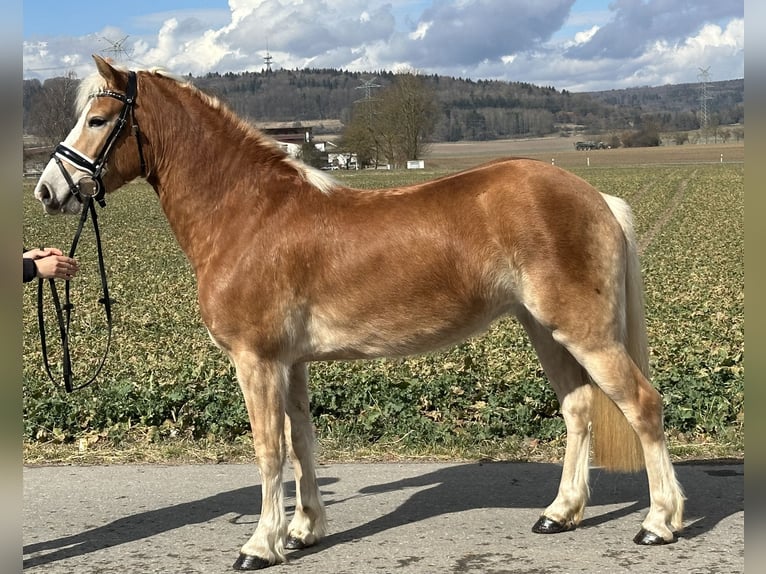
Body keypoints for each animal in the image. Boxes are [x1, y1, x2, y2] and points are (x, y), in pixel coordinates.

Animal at [33, 55, 688, 572]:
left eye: (97, 120)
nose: (47, 191)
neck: (249, 213)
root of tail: (595, 196)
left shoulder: (256, 361)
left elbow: (268, 450)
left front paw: (259, 545)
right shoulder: (290, 363)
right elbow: (301, 440)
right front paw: (303, 531)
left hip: (585, 333)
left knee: (642, 405)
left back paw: (658, 523)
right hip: (545, 328)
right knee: (578, 408)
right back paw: (560, 512)